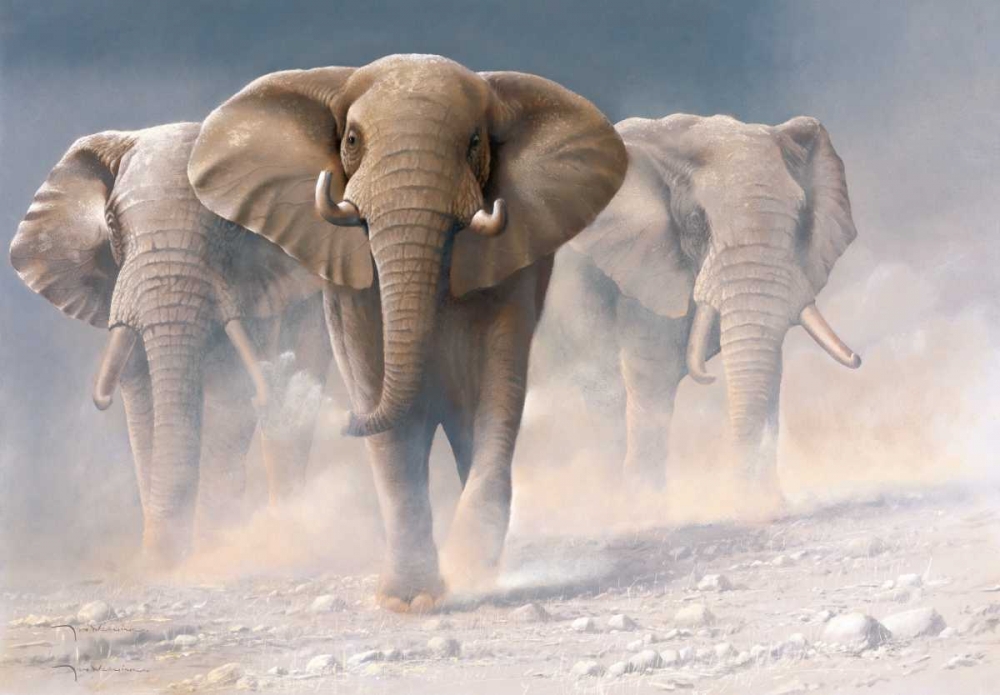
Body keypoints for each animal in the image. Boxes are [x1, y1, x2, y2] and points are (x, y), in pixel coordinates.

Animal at [9, 122, 331, 567]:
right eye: (111, 222)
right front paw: (162, 560)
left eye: (230, 227)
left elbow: (231, 394)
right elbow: (142, 401)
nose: (162, 554)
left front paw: (206, 553)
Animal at [187, 54, 627, 611]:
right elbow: (384, 410)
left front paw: (470, 572)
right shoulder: (349, 282)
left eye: (475, 143)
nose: (342, 421)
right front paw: (408, 601)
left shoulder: (514, 270)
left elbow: (496, 394)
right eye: (352, 139)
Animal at [563, 114, 861, 502]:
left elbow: (768, 364)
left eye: (800, 216)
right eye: (695, 220)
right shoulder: (640, 267)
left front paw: (766, 506)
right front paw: (644, 510)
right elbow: (652, 376)